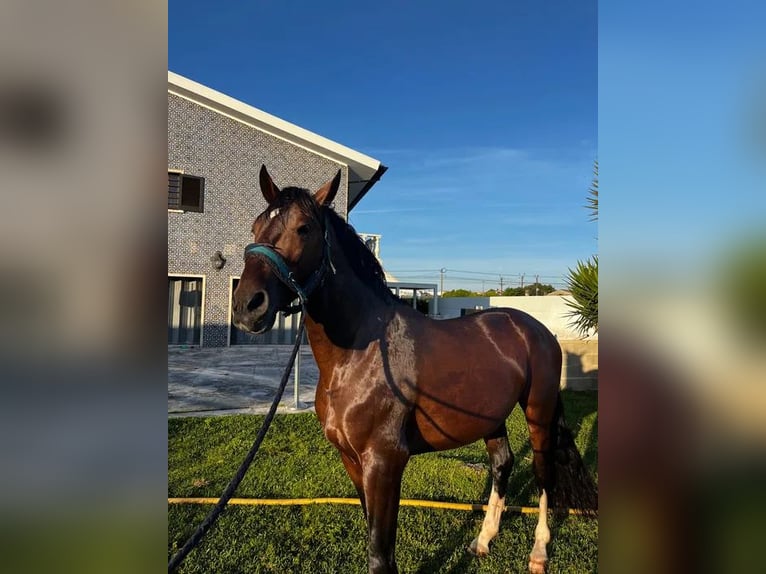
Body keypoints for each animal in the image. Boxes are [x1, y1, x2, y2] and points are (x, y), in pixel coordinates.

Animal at [231, 166, 597, 574]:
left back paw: (539, 552)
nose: (247, 305)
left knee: (543, 473)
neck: (361, 354)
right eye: (255, 226)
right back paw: (483, 540)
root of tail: (536, 329)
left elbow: (380, 554)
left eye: (304, 228)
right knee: (503, 464)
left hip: (538, 412)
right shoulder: (353, 461)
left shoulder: (385, 462)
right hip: (491, 417)